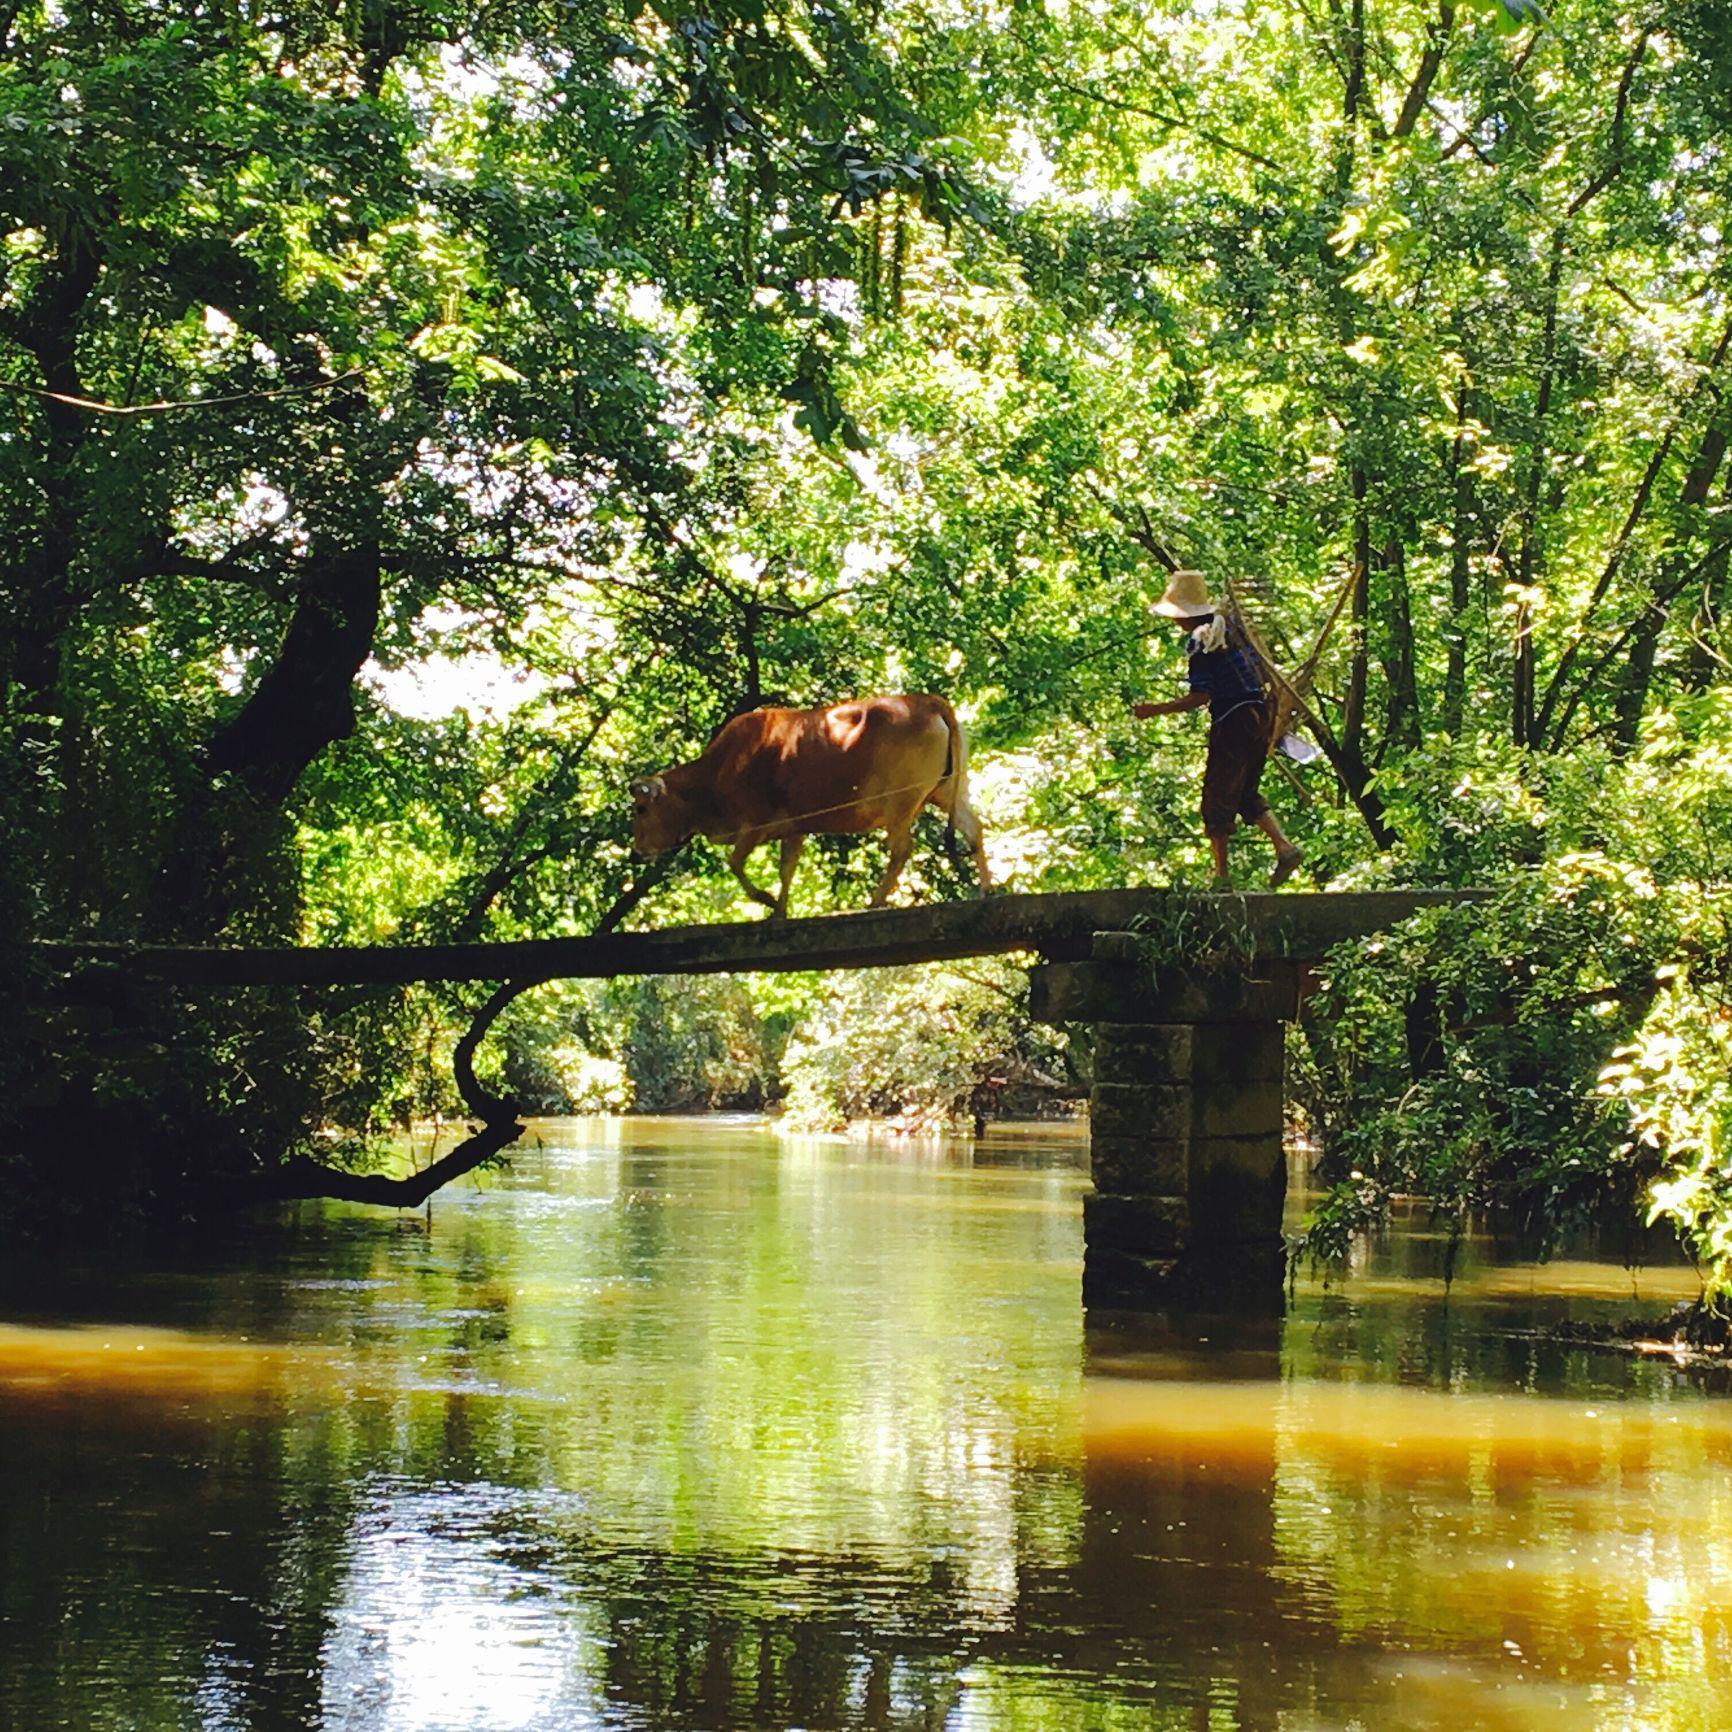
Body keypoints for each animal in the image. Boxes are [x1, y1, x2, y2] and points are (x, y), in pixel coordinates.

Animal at [633, 689, 990, 914]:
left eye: (641, 808)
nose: (637, 851)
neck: (718, 767)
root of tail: (927, 701)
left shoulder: (754, 822)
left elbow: (734, 862)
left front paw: (764, 898)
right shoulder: (794, 827)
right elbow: (786, 870)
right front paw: (778, 909)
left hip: (900, 801)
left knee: (902, 848)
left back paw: (875, 901)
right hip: (946, 792)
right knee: (973, 829)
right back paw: (987, 889)